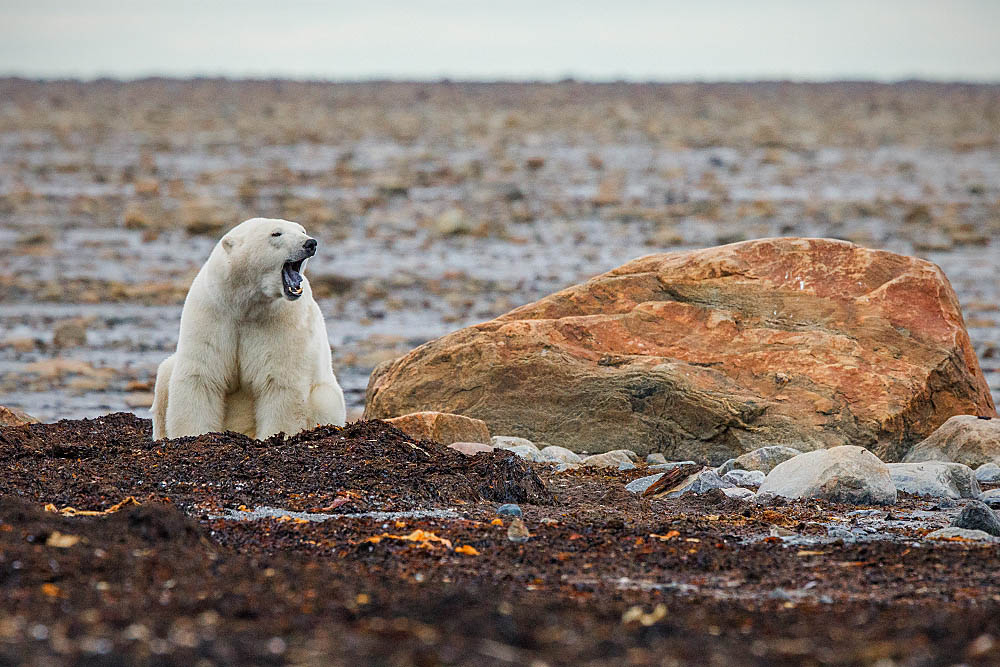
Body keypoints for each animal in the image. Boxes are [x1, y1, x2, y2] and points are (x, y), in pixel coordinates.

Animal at [150, 217, 348, 440]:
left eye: (302, 230)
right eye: (276, 233)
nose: (310, 243)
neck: (245, 305)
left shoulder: (283, 321)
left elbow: (280, 383)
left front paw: (274, 435)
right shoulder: (212, 314)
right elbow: (201, 376)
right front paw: (193, 435)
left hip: (326, 394)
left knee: (325, 399)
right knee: (165, 374)